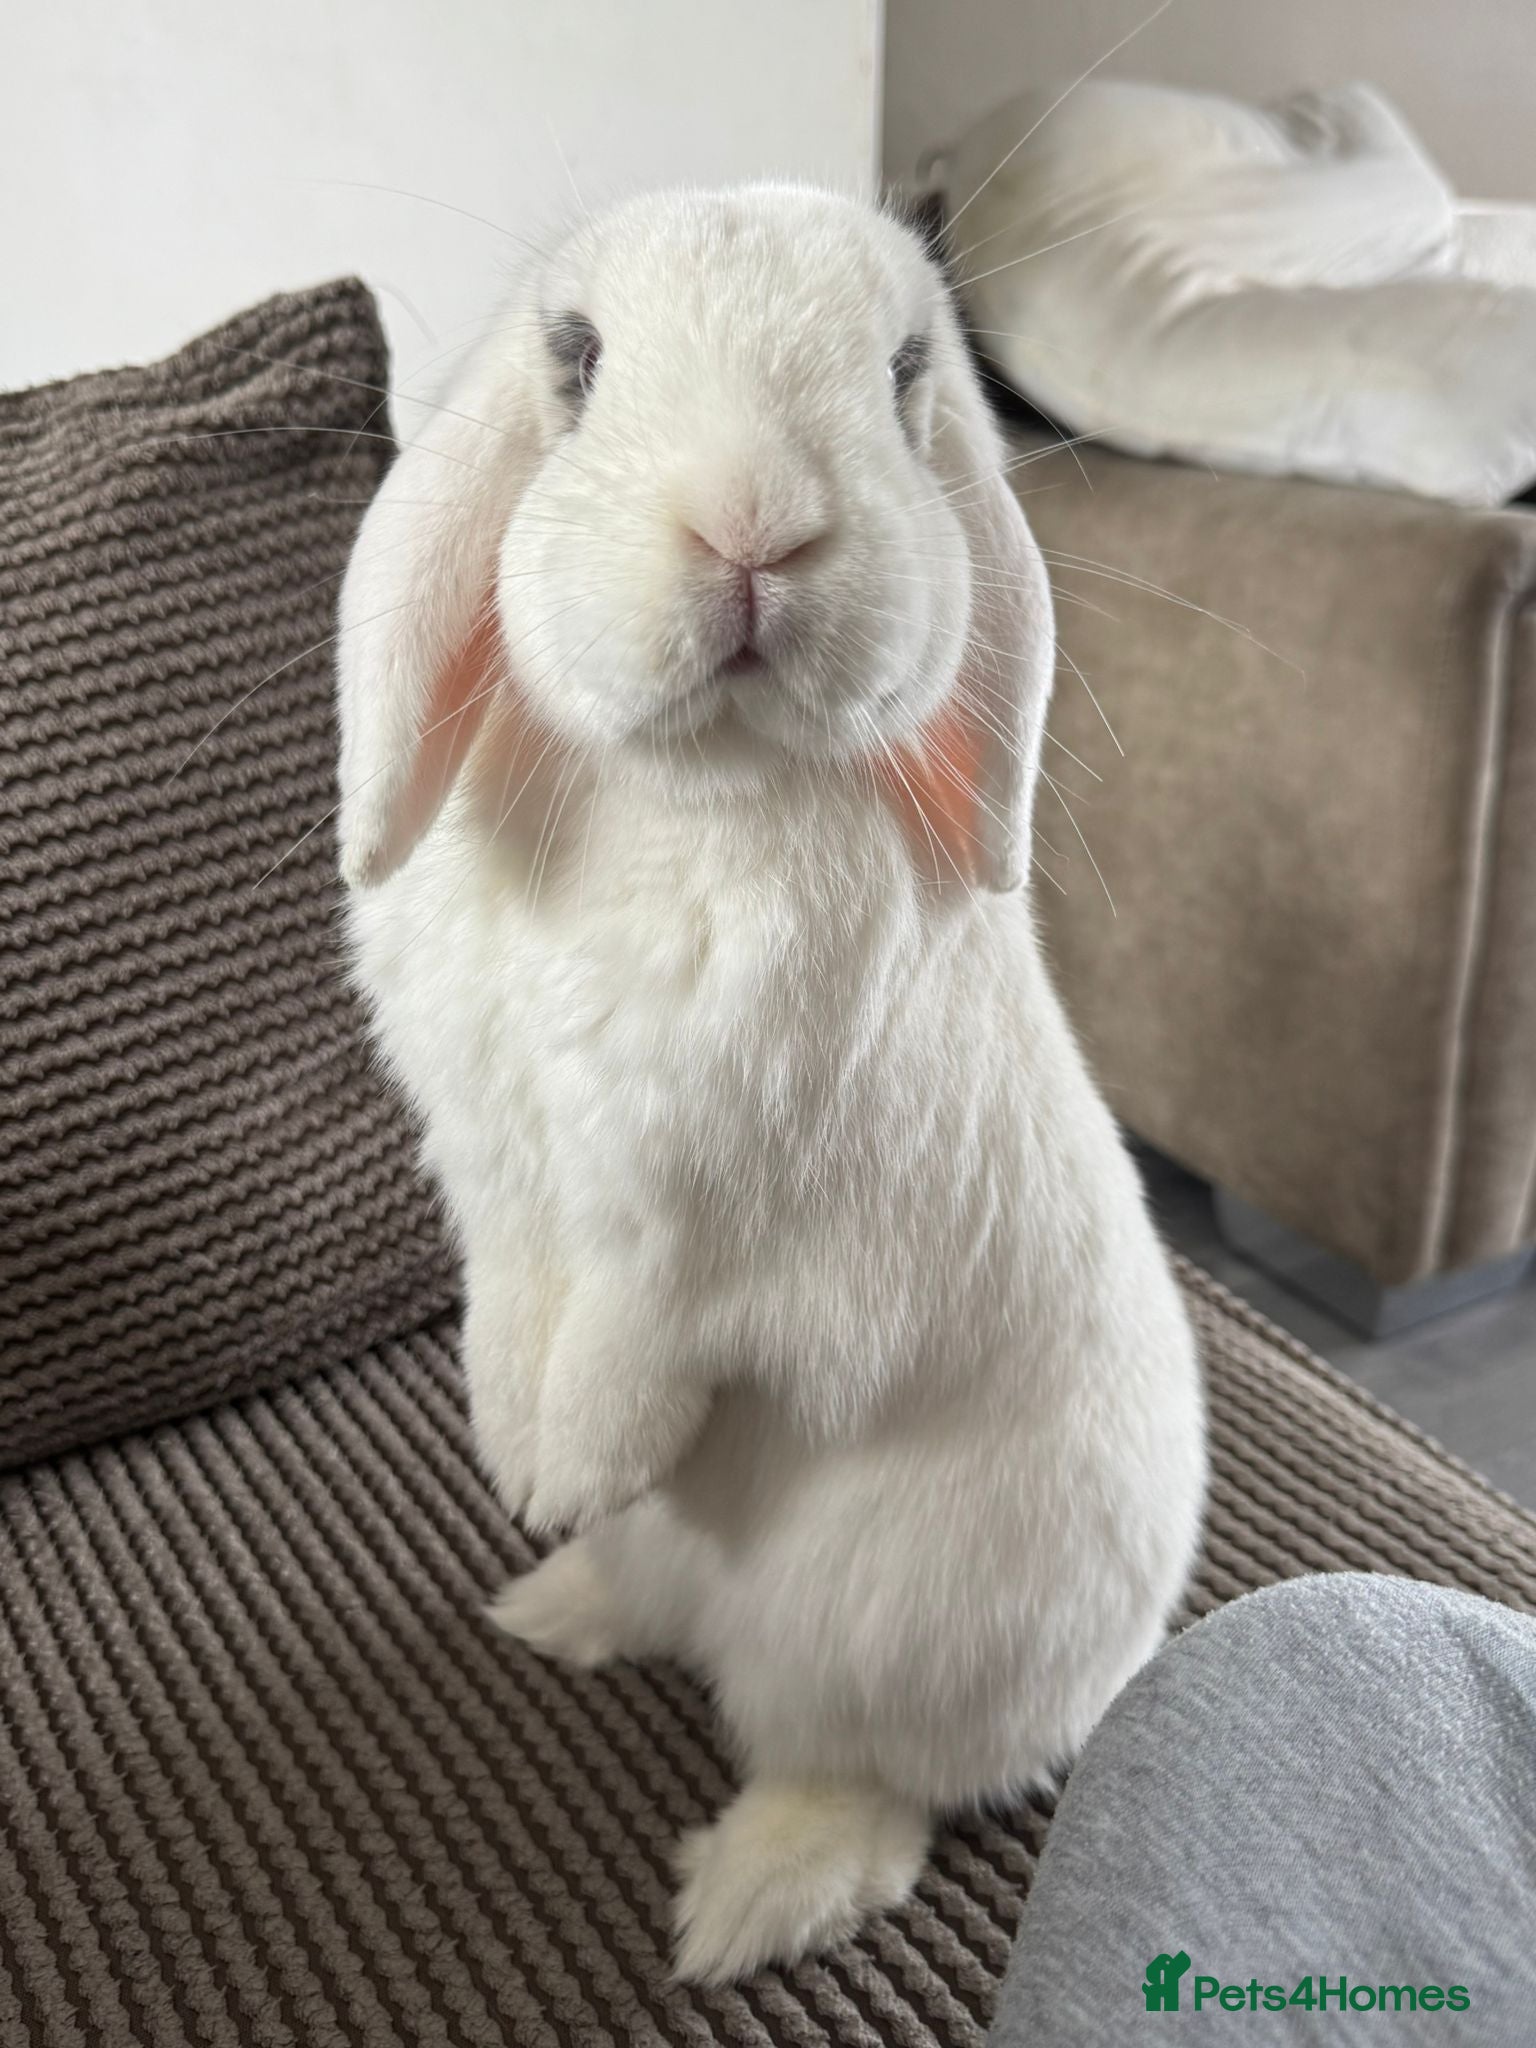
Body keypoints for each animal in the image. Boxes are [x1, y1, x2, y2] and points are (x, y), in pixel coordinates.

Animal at [335, 182, 1207, 1985]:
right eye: (577, 358)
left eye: (904, 374)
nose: (753, 529)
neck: (685, 788)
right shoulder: (501, 1178)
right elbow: (513, 1304)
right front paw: (516, 1458)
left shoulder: (703, 1225)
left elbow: (640, 1336)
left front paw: (565, 1465)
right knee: (667, 1615)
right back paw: (559, 1603)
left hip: (889, 1634)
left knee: (866, 1779)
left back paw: (743, 1902)